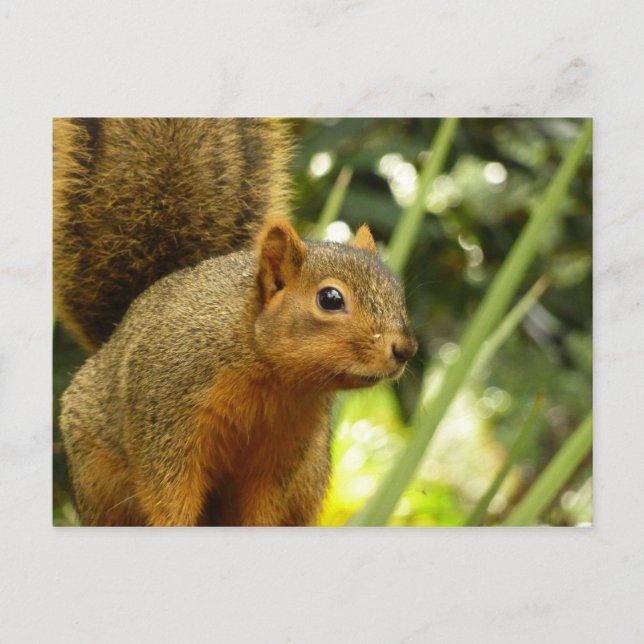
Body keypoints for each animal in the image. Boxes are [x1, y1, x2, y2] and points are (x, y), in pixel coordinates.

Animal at [54, 118, 418, 526]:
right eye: (330, 299)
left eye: (398, 291)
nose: (405, 349)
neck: (270, 376)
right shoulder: (165, 417)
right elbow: (168, 494)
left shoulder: (282, 455)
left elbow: (264, 506)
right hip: (97, 476)